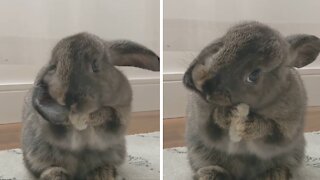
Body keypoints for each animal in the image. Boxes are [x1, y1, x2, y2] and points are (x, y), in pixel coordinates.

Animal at [21, 32, 159, 180]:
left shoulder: (120, 114)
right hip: (37, 153)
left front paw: (91, 118)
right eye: (54, 66)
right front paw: (71, 120)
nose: (68, 99)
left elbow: (108, 113)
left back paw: (104, 173)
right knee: (51, 167)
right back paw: (57, 176)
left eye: (95, 65)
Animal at [182, 21, 320, 180]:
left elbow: (269, 130)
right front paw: (226, 115)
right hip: (198, 151)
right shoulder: (203, 121)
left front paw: (248, 124)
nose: (204, 86)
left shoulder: (285, 129)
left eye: (254, 75)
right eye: (219, 48)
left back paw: (276, 174)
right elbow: (212, 124)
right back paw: (210, 174)